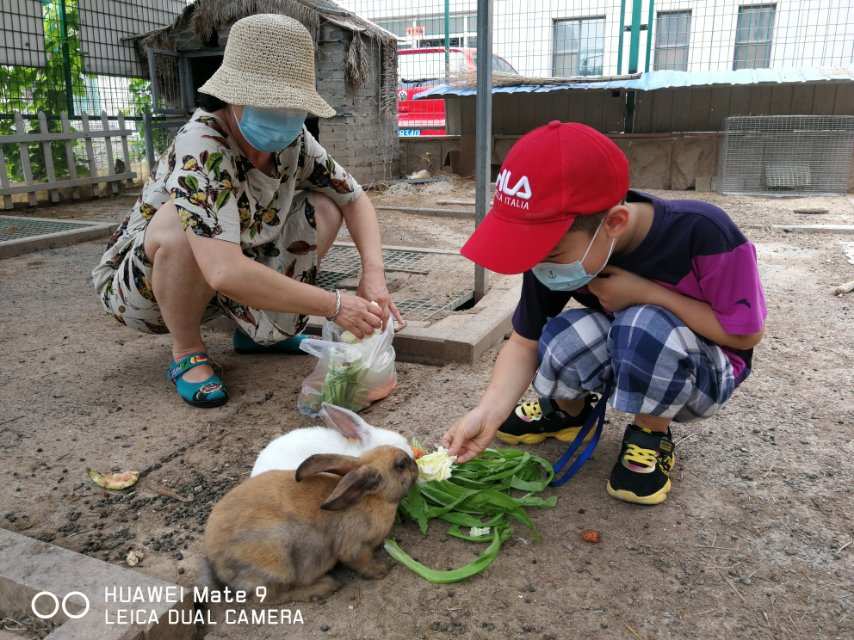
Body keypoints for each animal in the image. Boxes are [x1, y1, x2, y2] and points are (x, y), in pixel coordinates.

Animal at [204, 448, 418, 604]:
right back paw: (325, 587)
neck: (370, 498)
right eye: (400, 465)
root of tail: (215, 561)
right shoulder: (353, 547)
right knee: (269, 597)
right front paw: (382, 569)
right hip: (277, 563)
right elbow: (362, 562)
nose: (415, 463)